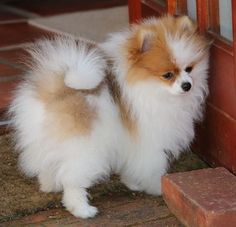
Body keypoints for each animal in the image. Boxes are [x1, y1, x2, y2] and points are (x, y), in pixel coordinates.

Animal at [8, 15, 208, 218]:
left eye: (189, 69)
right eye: (167, 75)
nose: (187, 85)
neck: (148, 86)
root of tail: (55, 91)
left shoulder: (131, 142)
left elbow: (131, 165)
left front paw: (132, 182)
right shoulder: (149, 140)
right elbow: (152, 166)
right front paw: (158, 187)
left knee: (48, 164)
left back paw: (49, 184)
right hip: (84, 147)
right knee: (72, 180)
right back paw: (82, 209)